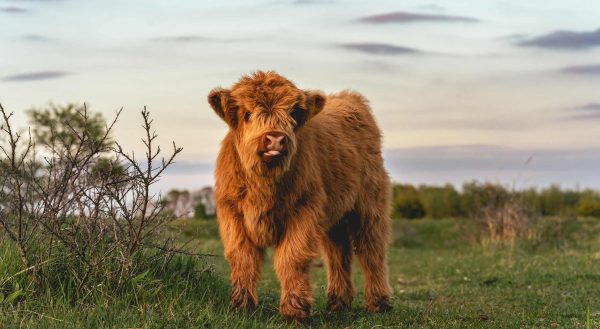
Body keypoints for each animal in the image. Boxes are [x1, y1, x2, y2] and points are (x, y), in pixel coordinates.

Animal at [207, 71, 394, 320]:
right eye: (247, 114)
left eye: (292, 113)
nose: (275, 139)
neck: (265, 185)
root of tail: (349, 97)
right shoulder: (233, 214)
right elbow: (242, 259)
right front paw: (241, 307)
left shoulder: (304, 210)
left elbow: (292, 258)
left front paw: (294, 311)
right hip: (336, 216)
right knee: (338, 253)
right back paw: (338, 303)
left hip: (369, 207)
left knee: (372, 251)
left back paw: (379, 303)